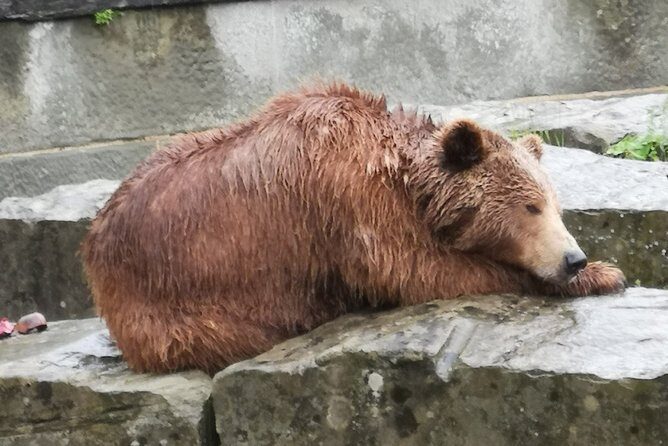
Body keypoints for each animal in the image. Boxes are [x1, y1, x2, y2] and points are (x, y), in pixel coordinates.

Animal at [81, 83, 625, 374]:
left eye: (555, 205)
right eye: (531, 207)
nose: (572, 258)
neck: (406, 180)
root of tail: (92, 245)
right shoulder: (348, 203)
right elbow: (419, 271)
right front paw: (605, 273)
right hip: (180, 301)